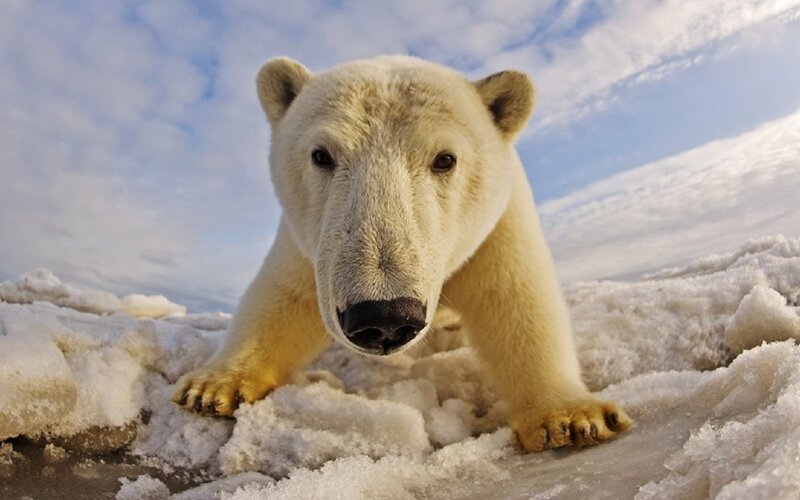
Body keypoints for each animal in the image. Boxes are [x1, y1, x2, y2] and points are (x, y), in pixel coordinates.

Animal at [173, 55, 631, 452]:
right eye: (321, 155)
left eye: (445, 159)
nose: (385, 316)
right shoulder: (309, 242)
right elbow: (284, 297)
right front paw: (212, 388)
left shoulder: (498, 225)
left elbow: (514, 298)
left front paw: (572, 418)